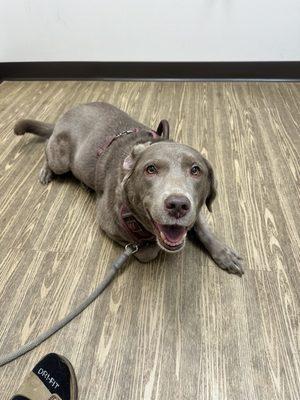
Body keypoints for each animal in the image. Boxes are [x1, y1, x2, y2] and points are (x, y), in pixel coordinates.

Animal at [14, 101, 244, 276]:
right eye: (150, 169)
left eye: (196, 170)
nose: (178, 205)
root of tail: (63, 116)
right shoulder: (108, 222)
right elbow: (148, 251)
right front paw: (149, 246)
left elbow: (201, 225)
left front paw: (224, 253)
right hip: (60, 160)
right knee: (49, 154)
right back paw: (46, 172)